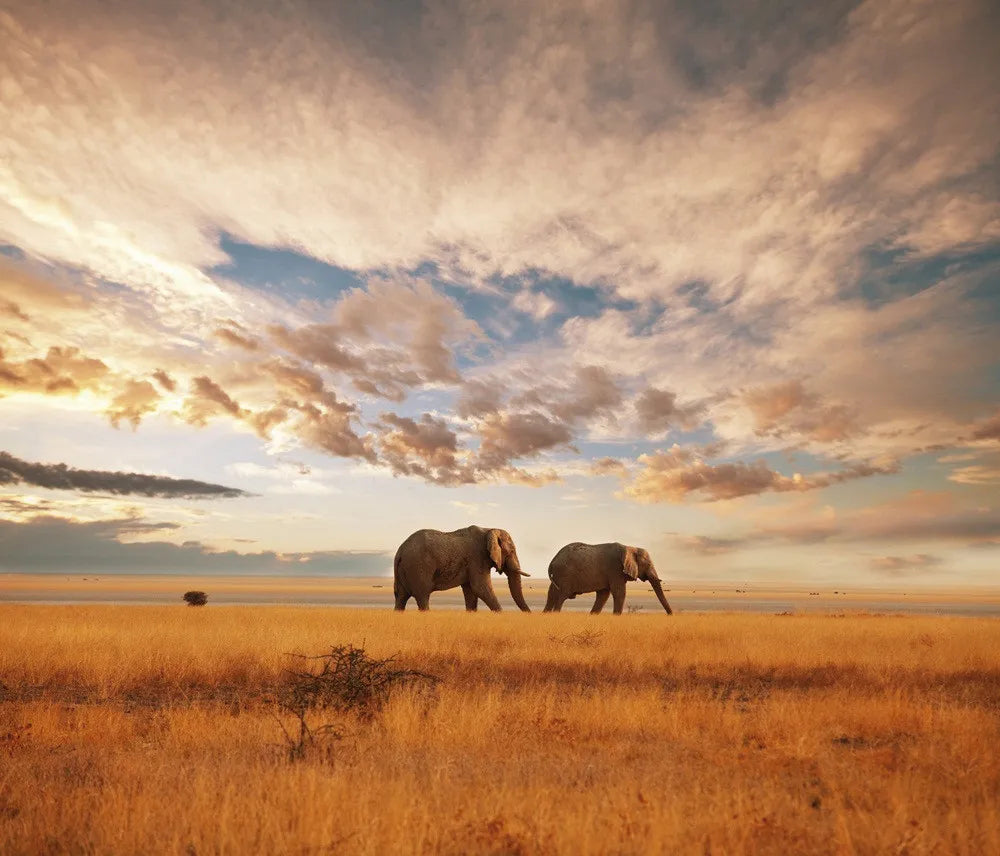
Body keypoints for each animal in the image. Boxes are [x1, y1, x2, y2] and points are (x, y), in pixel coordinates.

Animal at [393, 525, 531, 612]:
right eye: (511, 551)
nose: (529, 614)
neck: (489, 529)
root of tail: (400, 551)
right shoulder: (477, 558)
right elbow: (480, 588)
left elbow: (471, 591)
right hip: (418, 567)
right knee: (422, 596)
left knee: (401, 597)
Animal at [543, 542, 673, 615]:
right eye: (648, 564)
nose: (670, 615)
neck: (630, 548)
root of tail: (552, 561)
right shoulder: (615, 570)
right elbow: (619, 592)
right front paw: (616, 616)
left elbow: (603, 595)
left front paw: (593, 616)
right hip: (565, 575)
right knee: (562, 596)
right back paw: (556, 614)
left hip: (558, 575)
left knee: (552, 594)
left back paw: (546, 614)